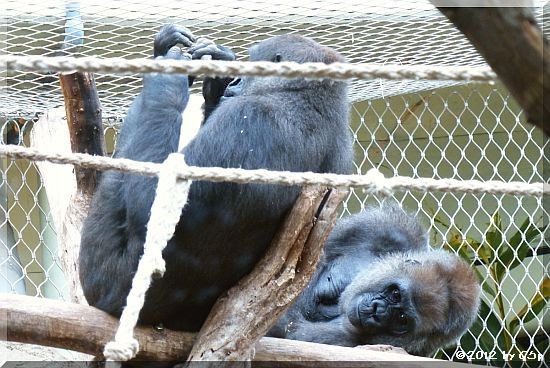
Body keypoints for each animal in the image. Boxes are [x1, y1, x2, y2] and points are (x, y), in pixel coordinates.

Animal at [77, 24, 354, 332]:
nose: (235, 81)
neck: (305, 96)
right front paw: (215, 73)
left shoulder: (248, 118)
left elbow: (150, 208)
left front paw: (166, 74)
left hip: (108, 291)